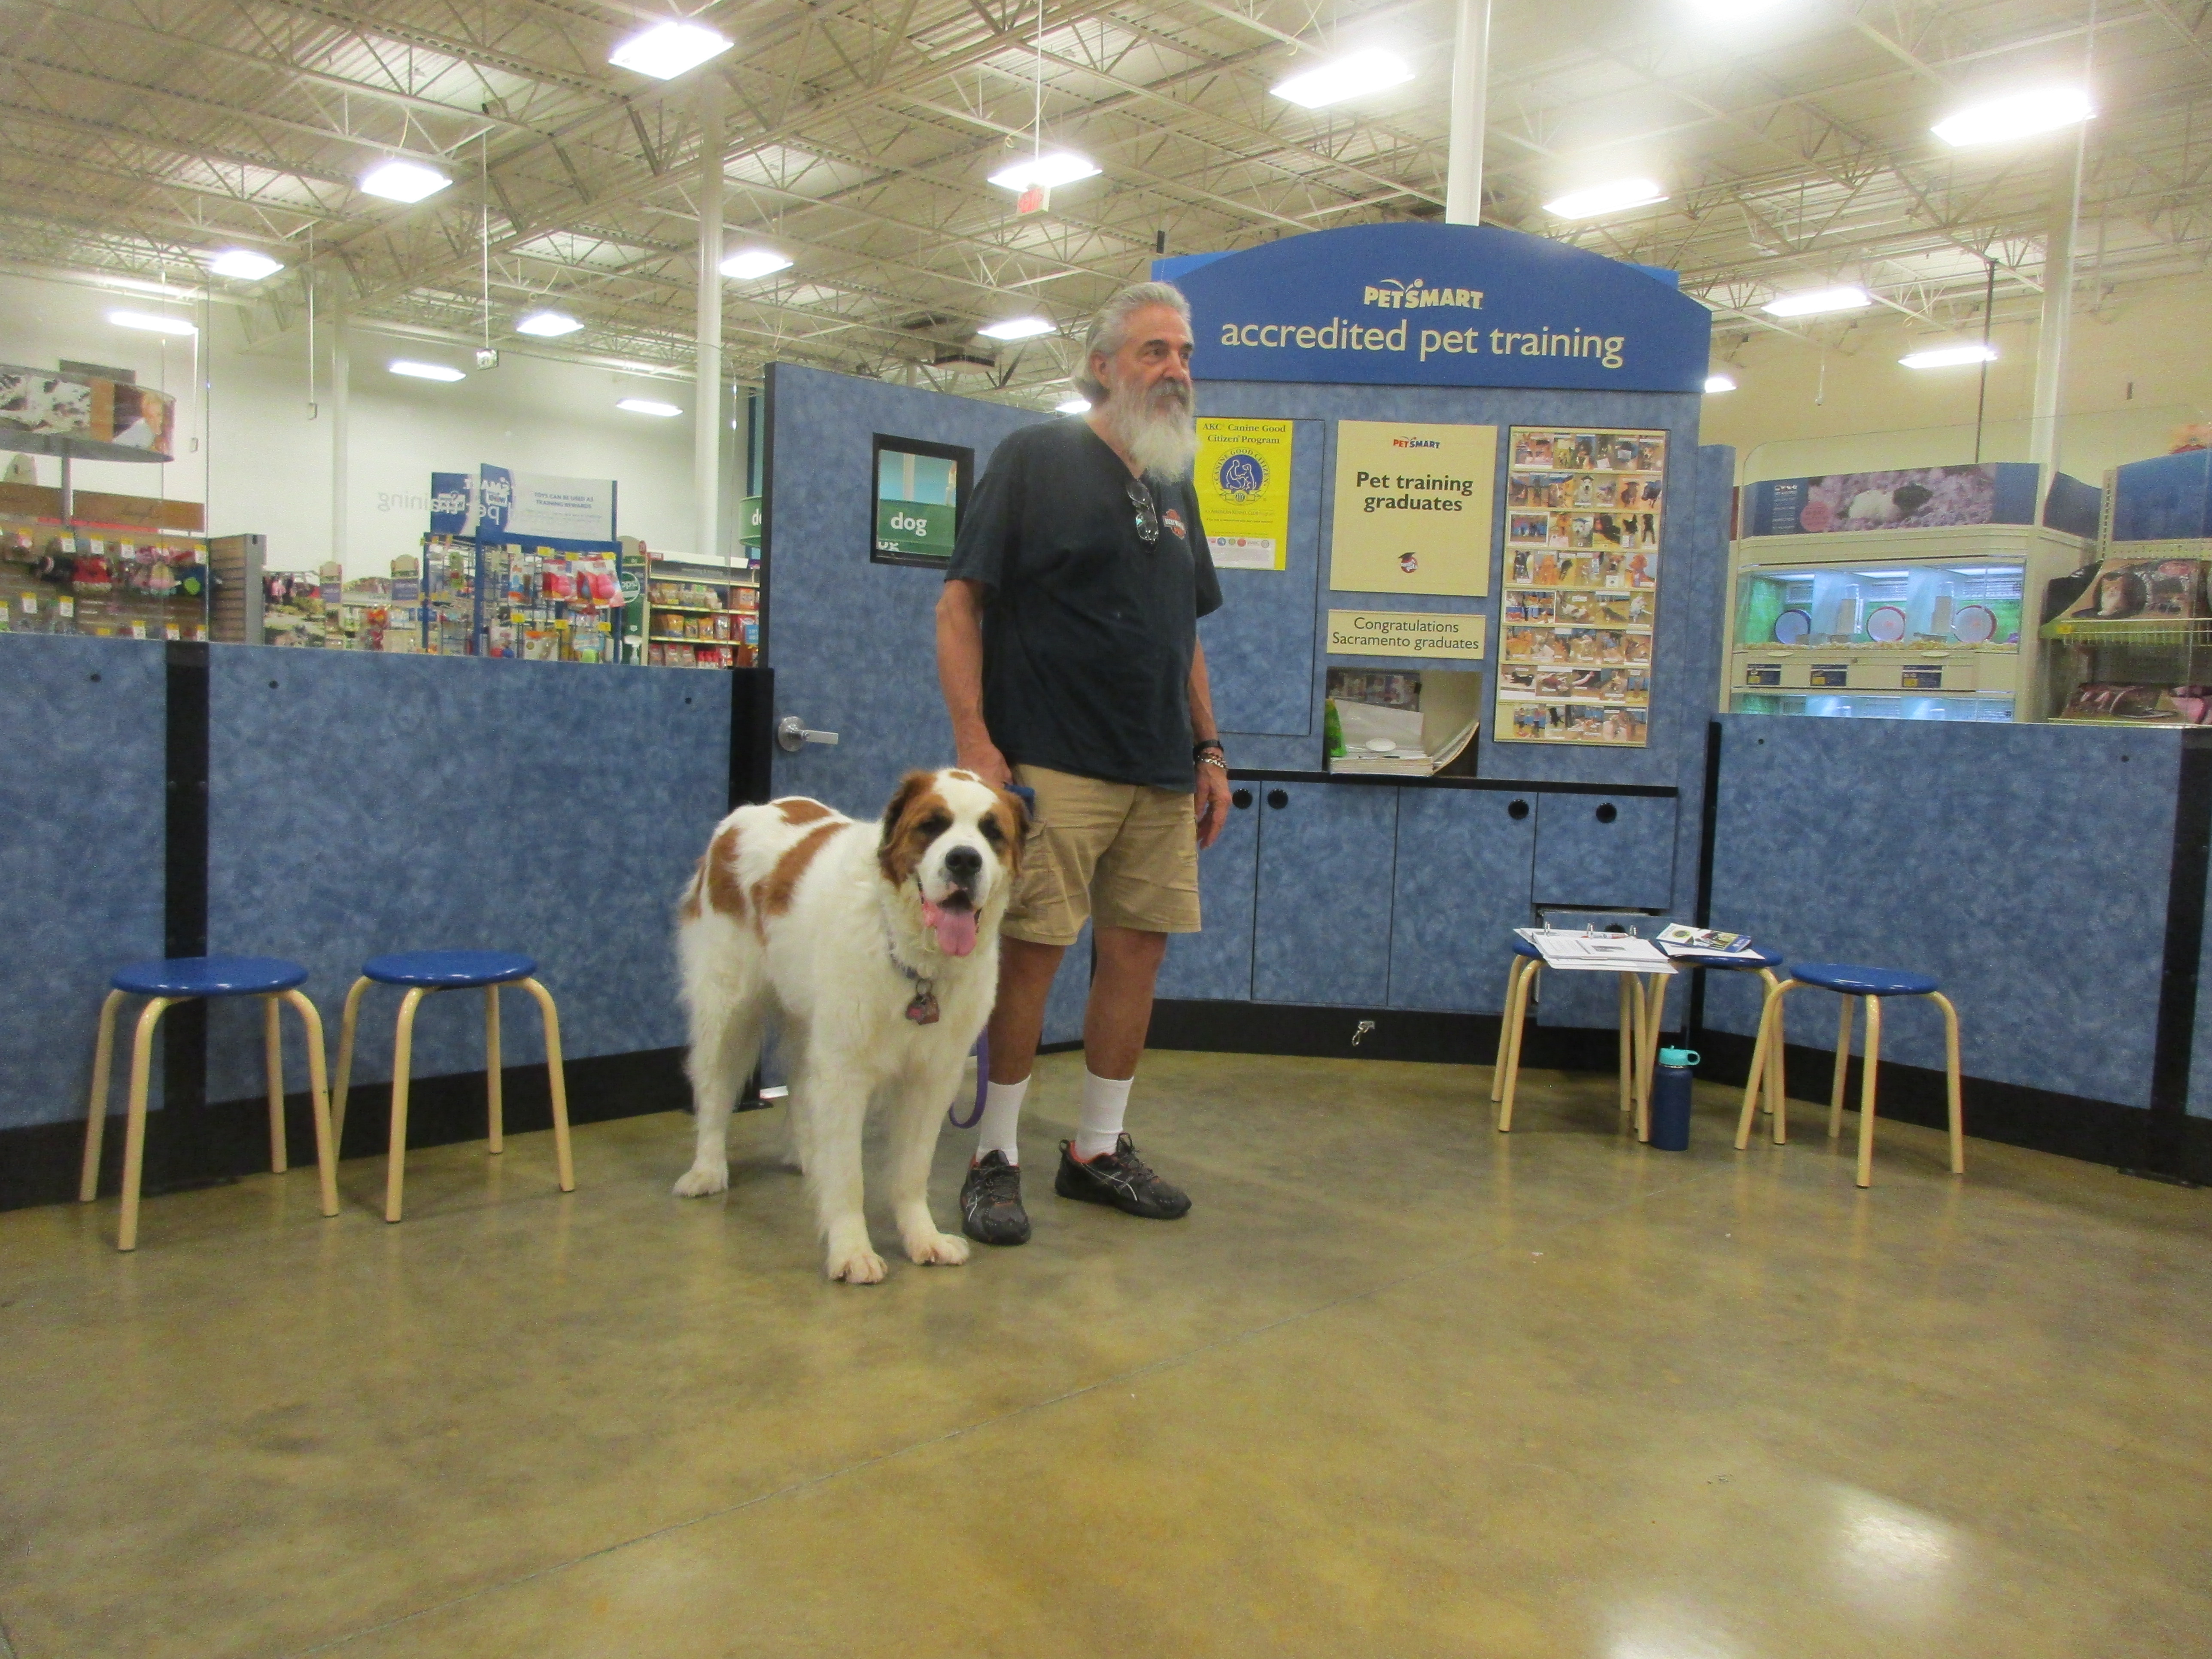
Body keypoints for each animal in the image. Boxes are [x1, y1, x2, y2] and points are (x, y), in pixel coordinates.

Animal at [672, 768, 1025, 1282]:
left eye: (991, 832)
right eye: (932, 826)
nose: (964, 859)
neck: (915, 961)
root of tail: (744, 815)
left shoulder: (931, 1077)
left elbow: (912, 1171)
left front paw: (923, 1238)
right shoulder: (846, 1072)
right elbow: (849, 1177)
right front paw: (852, 1251)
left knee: (800, 1084)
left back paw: (807, 1155)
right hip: (727, 1006)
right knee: (715, 1088)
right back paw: (707, 1169)